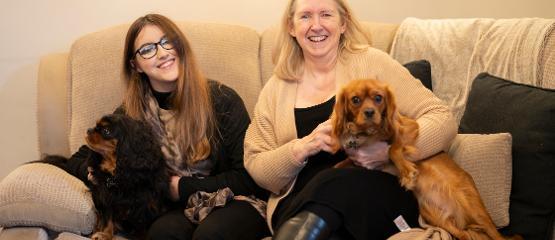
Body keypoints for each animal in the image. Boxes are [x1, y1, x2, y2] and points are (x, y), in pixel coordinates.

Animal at [330, 79, 520, 240]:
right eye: (355, 100)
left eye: (378, 98)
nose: (369, 112)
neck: (367, 134)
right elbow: (344, 162)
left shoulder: (409, 128)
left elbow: (392, 148)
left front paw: (407, 173)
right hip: (437, 218)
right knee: (465, 236)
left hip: (475, 210)